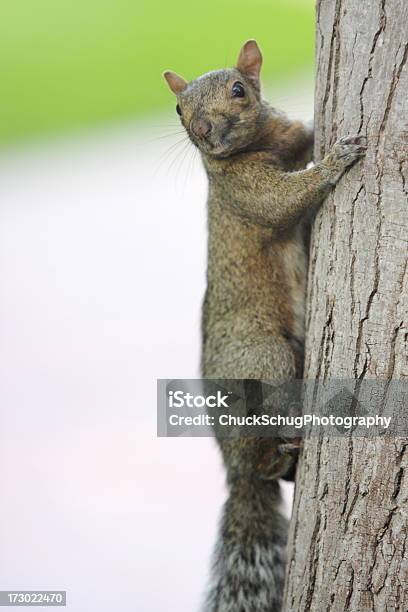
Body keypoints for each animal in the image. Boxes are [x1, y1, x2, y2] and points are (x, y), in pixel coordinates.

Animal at [163, 40, 366, 608]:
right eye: (179, 110)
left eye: (239, 88)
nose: (204, 129)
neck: (258, 146)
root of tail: (232, 467)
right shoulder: (245, 191)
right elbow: (281, 202)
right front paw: (337, 160)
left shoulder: (289, 137)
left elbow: (303, 136)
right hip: (261, 359)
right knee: (259, 458)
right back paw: (279, 447)